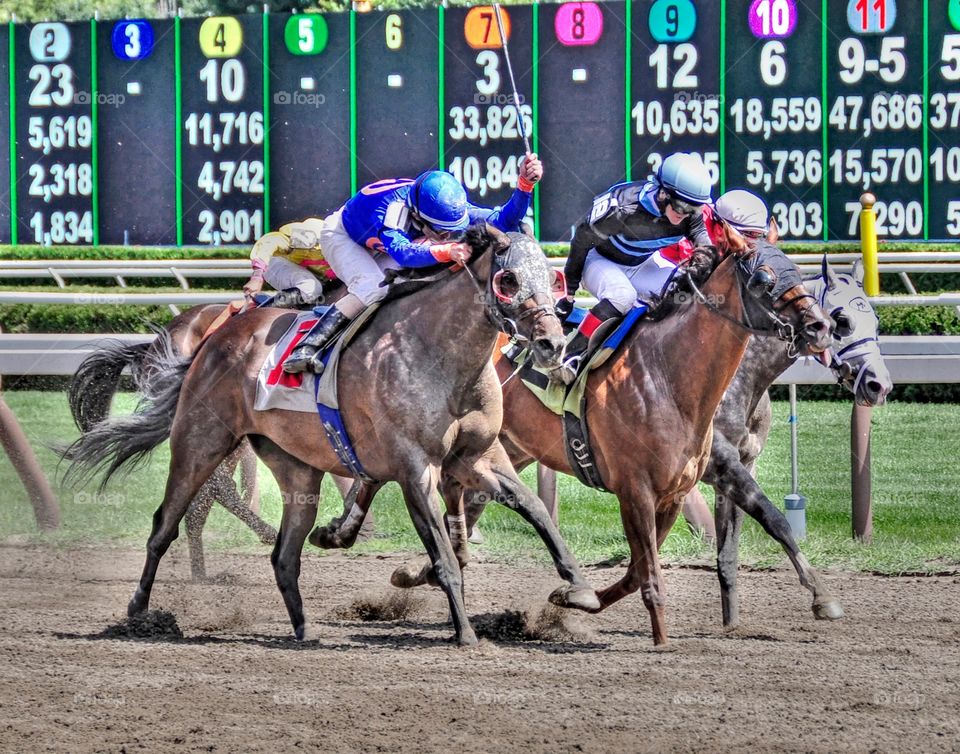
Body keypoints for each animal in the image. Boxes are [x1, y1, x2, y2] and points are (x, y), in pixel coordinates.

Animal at [62, 226, 600, 644]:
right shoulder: (414, 469)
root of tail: (213, 338)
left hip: (297, 470)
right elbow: (444, 556)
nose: (552, 343)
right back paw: (139, 612)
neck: (439, 355)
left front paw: (580, 588)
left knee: (283, 554)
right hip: (200, 443)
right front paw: (466, 633)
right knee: (165, 525)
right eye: (509, 279)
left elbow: (535, 510)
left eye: (552, 277)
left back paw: (304, 629)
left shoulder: (479, 458)